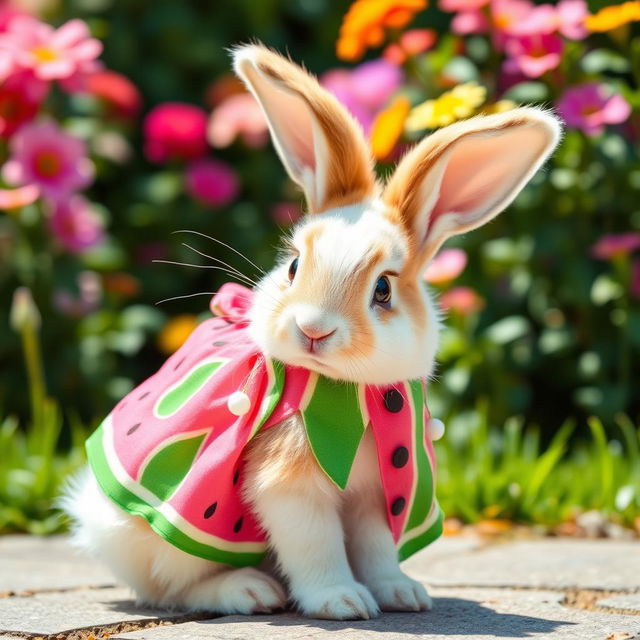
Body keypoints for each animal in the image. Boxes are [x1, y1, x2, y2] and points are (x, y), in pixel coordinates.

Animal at [60, 43, 560, 620]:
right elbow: (314, 543)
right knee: (168, 586)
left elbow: (376, 547)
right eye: (295, 265)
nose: (313, 329)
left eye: (383, 289)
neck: (347, 395)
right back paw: (248, 591)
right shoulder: (290, 484)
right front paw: (342, 602)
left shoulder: (378, 491)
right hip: (158, 542)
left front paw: (401, 593)